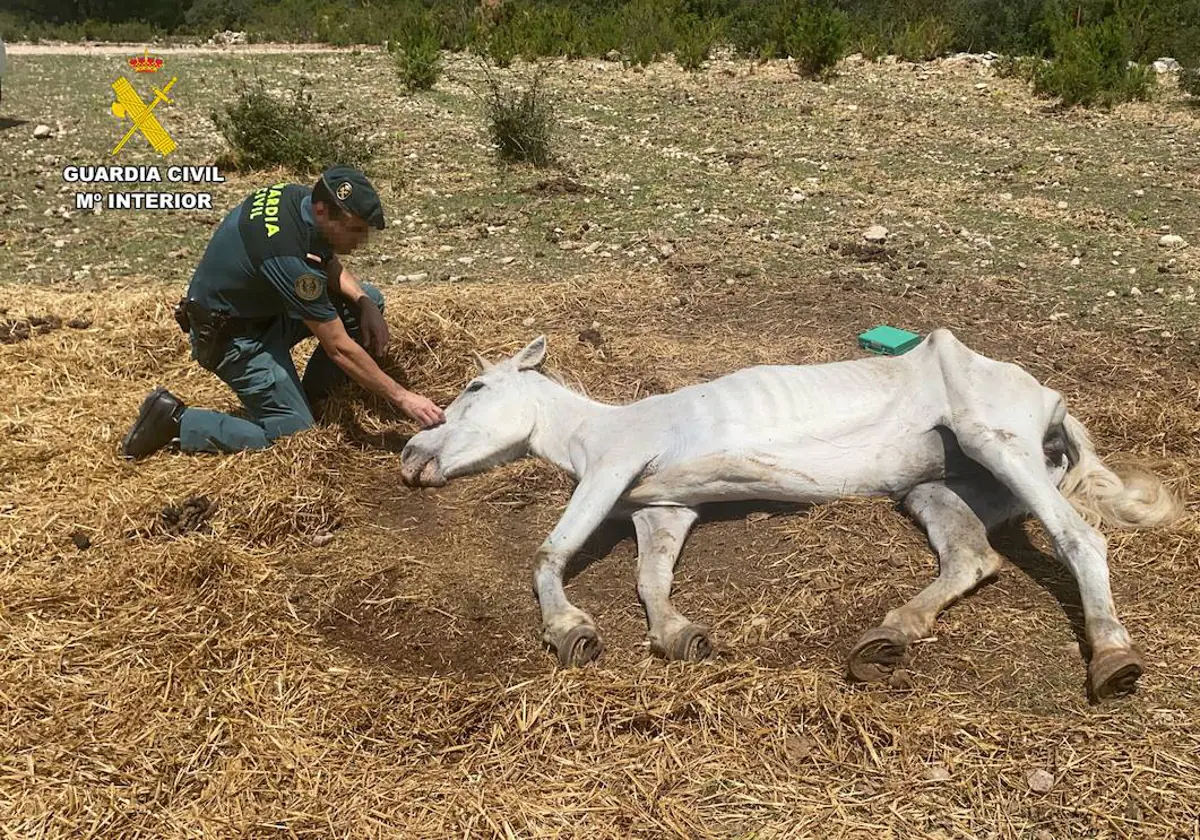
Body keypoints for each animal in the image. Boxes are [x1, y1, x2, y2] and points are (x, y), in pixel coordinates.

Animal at [400, 331, 1180, 700]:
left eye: (475, 386)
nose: (410, 453)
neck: (596, 427)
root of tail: (1053, 404)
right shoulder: (665, 510)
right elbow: (651, 581)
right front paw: (680, 635)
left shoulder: (613, 470)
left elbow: (550, 551)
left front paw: (570, 631)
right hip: (939, 487)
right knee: (972, 556)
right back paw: (886, 639)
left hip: (997, 441)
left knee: (1081, 536)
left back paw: (1114, 660)